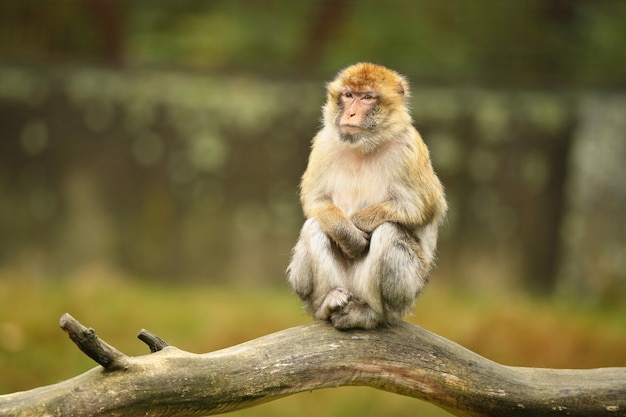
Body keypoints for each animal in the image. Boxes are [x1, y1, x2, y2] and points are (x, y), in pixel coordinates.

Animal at [286, 62, 446, 328]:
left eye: (367, 98)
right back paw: (328, 302)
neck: (363, 146)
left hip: (408, 291)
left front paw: (359, 223)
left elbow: (422, 206)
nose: (350, 113)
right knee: (316, 225)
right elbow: (316, 201)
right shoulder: (323, 143)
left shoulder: (409, 148)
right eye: (349, 95)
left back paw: (370, 314)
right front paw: (348, 234)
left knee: (389, 230)